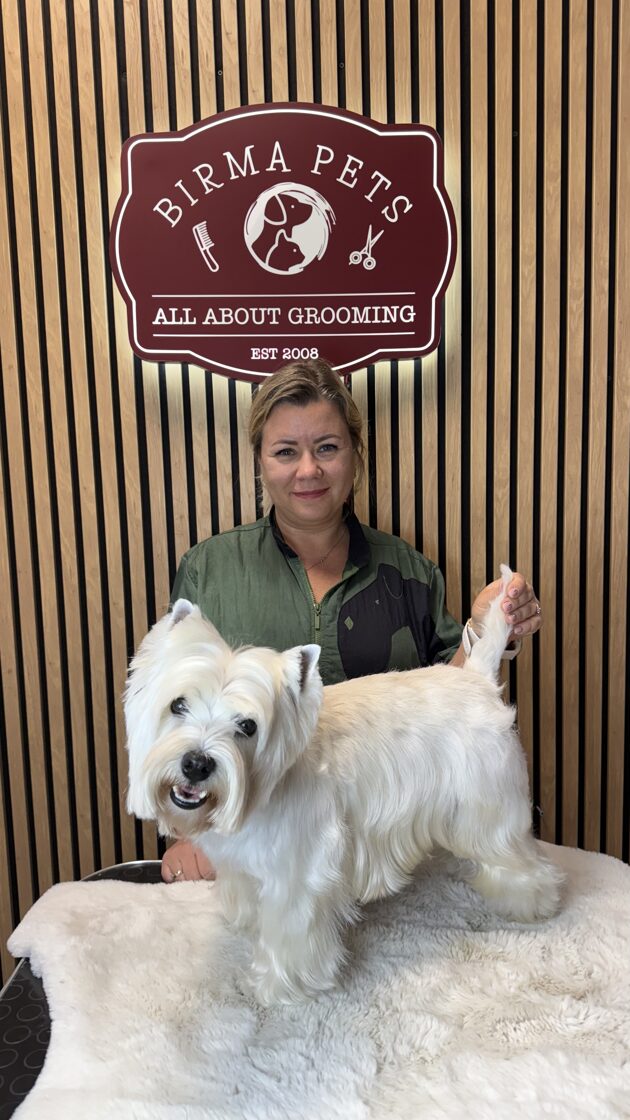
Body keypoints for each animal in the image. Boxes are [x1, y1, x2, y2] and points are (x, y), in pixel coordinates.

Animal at [125, 566, 563, 1004]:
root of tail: (477, 678)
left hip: (490, 809)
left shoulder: (298, 874)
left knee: (520, 857)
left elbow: (289, 934)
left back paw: (533, 903)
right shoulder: (244, 866)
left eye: (247, 726)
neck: (261, 788)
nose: (197, 764)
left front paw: (278, 987)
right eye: (178, 705)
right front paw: (245, 924)